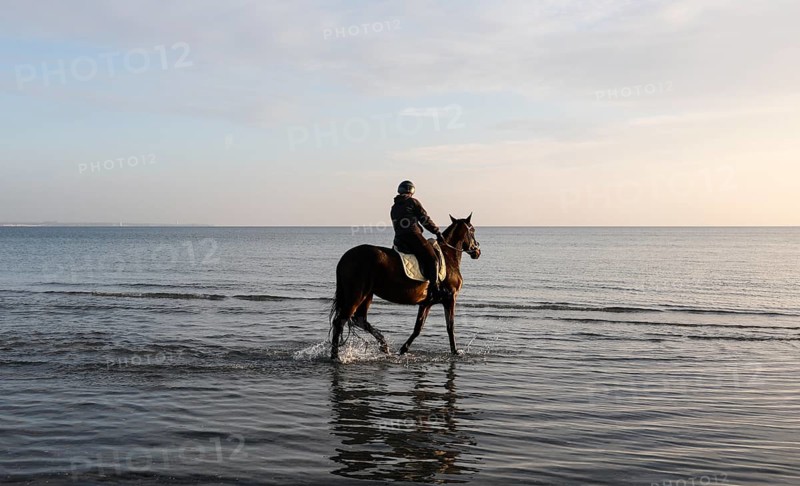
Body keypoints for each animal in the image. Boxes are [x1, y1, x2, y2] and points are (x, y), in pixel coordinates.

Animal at [329, 214, 481, 361]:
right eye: (472, 230)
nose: (477, 251)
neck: (448, 258)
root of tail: (344, 258)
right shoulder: (450, 299)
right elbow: (450, 327)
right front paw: (455, 351)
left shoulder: (426, 303)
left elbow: (418, 328)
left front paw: (403, 350)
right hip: (356, 295)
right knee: (339, 322)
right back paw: (336, 356)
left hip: (367, 295)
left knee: (360, 320)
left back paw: (383, 345)